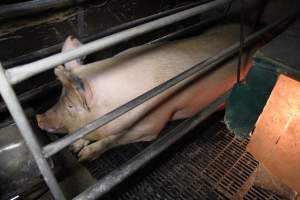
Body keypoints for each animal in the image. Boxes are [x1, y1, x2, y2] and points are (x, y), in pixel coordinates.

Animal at [35, 23, 253, 161]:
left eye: (71, 105)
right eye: (60, 96)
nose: (39, 118)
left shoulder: (152, 124)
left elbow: (115, 138)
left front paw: (85, 156)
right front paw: (75, 148)